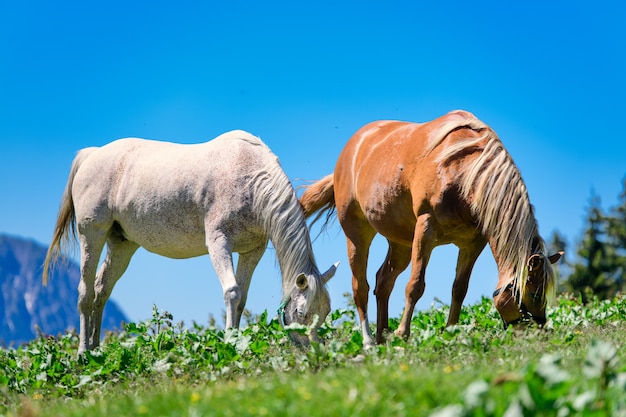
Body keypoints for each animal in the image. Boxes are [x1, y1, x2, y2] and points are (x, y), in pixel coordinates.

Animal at [42, 131, 336, 352]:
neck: (249, 177)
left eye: (324, 314)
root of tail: (92, 154)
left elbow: (242, 298)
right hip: (91, 234)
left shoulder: (253, 250)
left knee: (102, 289)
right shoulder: (218, 243)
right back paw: (83, 352)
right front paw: (229, 341)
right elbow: (232, 292)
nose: (314, 350)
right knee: (86, 292)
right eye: (301, 314)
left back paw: (95, 349)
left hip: (122, 244)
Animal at [300, 109, 564, 344]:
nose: (540, 334)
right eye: (534, 293)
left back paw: (382, 339)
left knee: (383, 282)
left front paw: (451, 332)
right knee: (360, 287)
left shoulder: (472, 244)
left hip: (401, 244)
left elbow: (459, 289)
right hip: (357, 233)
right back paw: (368, 341)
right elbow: (415, 286)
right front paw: (403, 334)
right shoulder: (426, 229)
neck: (464, 172)